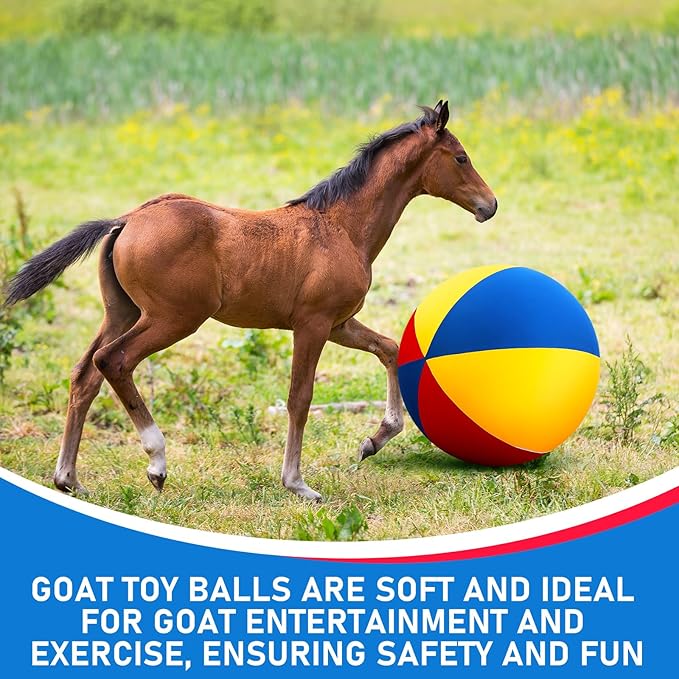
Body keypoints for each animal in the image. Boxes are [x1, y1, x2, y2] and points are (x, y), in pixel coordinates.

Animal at [6, 100, 497, 502]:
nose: (489, 205)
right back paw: (156, 461)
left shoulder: (339, 323)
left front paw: (373, 441)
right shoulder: (313, 325)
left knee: (84, 374)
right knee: (113, 361)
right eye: (461, 157)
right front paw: (297, 484)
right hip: (173, 318)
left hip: (123, 312)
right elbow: (300, 397)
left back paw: (68, 479)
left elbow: (390, 349)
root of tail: (127, 219)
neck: (341, 226)